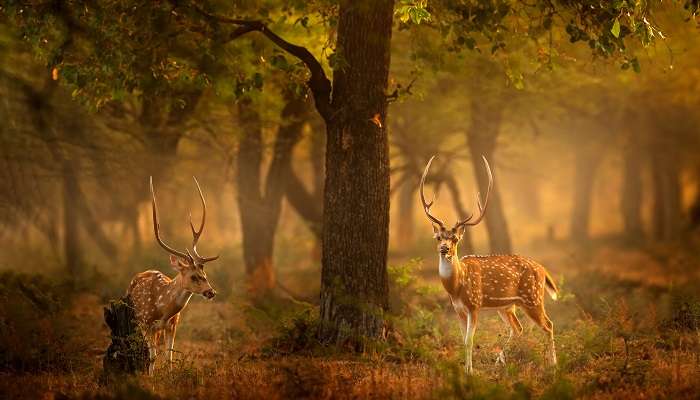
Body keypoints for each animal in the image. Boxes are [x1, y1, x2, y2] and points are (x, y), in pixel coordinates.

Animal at [126, 177, 219, 374]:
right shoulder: (147, 323)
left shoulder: (173, 324)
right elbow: (152, 357)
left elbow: (169, 357)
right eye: (193, 276)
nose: (211, 292)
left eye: (204, 273)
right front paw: (150, 379)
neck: (163, 309)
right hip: (136, 319)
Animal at [418, 155, 560, 374]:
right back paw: (500, 361)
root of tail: (543, 269)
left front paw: (469, 372)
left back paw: (553, 364)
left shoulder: (474, 304)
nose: (444, 249)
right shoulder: (458, 309)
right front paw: (467, 368)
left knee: (549, 324)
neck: (456, 287)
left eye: (455, 239)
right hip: (508, 306)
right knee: (518, 328)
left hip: (533, 297)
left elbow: (469, 340)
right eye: (438, 237)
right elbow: (463, 340)